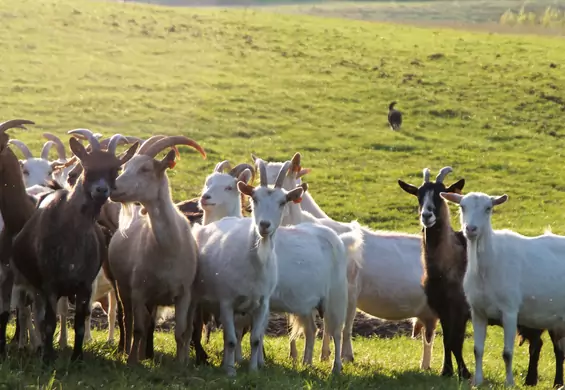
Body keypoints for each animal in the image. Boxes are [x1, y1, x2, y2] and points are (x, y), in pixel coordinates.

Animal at [12, 133, 138, 362]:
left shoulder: (85, 285)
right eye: (86, 165)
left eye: (116, 168)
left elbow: (80, 321)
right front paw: (48, 357)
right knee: (32, 313)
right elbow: (49, 321)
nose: (101, 190)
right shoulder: (50, 284)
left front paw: (77, 357)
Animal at [108, 135, 205, 366]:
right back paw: (130, 352)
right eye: (124, 166)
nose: (112, 189)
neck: (168, 249)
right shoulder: (138, 291)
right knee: (129, 320)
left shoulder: (184, 293)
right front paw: (132, 362)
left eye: (145, 169)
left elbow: (180, 332)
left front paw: (181, 365)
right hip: (123, 287)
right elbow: (138, 328)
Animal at [258, 152, 438, 368]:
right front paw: (305, 356)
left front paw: (341, 356)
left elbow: (342, 325)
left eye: (285, 194)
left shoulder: (348, 290)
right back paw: (426, 365)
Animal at [440, 190, 565, 386]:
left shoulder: (510, 311)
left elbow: (507, 353)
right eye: (462, 206)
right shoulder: (477, 312)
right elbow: (477, 349)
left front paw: (509, 383)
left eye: (488, 208)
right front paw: (477, 381)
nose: (471, 229)